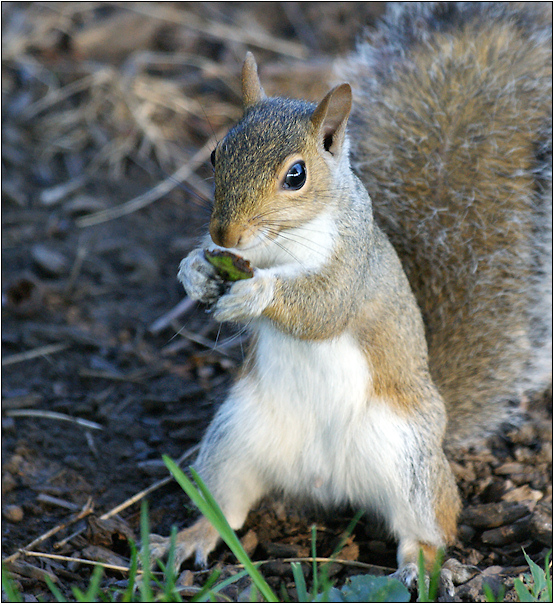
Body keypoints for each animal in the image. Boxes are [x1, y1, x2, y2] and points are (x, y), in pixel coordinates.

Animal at [149, 0, 548, 584]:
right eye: (217, 155)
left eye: (296, 175)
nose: (225, 235)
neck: (280, 247)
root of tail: (327, 484)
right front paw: (194, 270)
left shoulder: (352, 268)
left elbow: (324, 308)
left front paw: (257, 295)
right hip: (232, 440)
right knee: (225, 509)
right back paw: (186, 541)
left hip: (409, 462)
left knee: (432, 526)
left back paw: (419, 567)